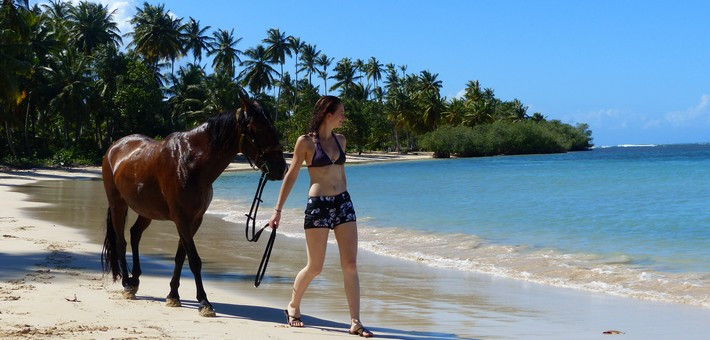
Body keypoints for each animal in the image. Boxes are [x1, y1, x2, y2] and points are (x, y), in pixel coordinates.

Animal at [103, 95, 286, 316]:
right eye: (258, 128)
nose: (281, 168)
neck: (190, 162)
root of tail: (114, 147)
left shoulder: (194, 219)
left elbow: (181, 257)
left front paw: (173, 295)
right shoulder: (181, 218)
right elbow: (195, 260)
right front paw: (204, 302)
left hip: (146, 210)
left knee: (135, 234)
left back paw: (136, 279)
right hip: (118, 205)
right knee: (121, 241)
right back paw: (127, 284)